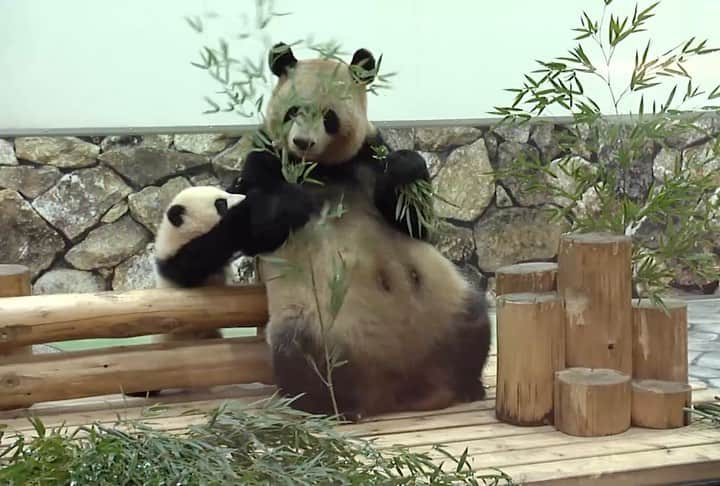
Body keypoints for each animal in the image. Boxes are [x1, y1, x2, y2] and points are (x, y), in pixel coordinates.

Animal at [228, 42, 492, 422]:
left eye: (329, 117)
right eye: (293, 111)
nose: (302, 142)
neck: (321, 168)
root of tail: (402, 390)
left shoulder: (370, 154)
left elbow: (418, 224)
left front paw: (406, 166)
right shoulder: (263, 158)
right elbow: (255, 229)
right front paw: (291, 199)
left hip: (448, 299)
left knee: (475, 320)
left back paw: (468, 385)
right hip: (311, 321)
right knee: (297, 354)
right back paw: (333, 407)